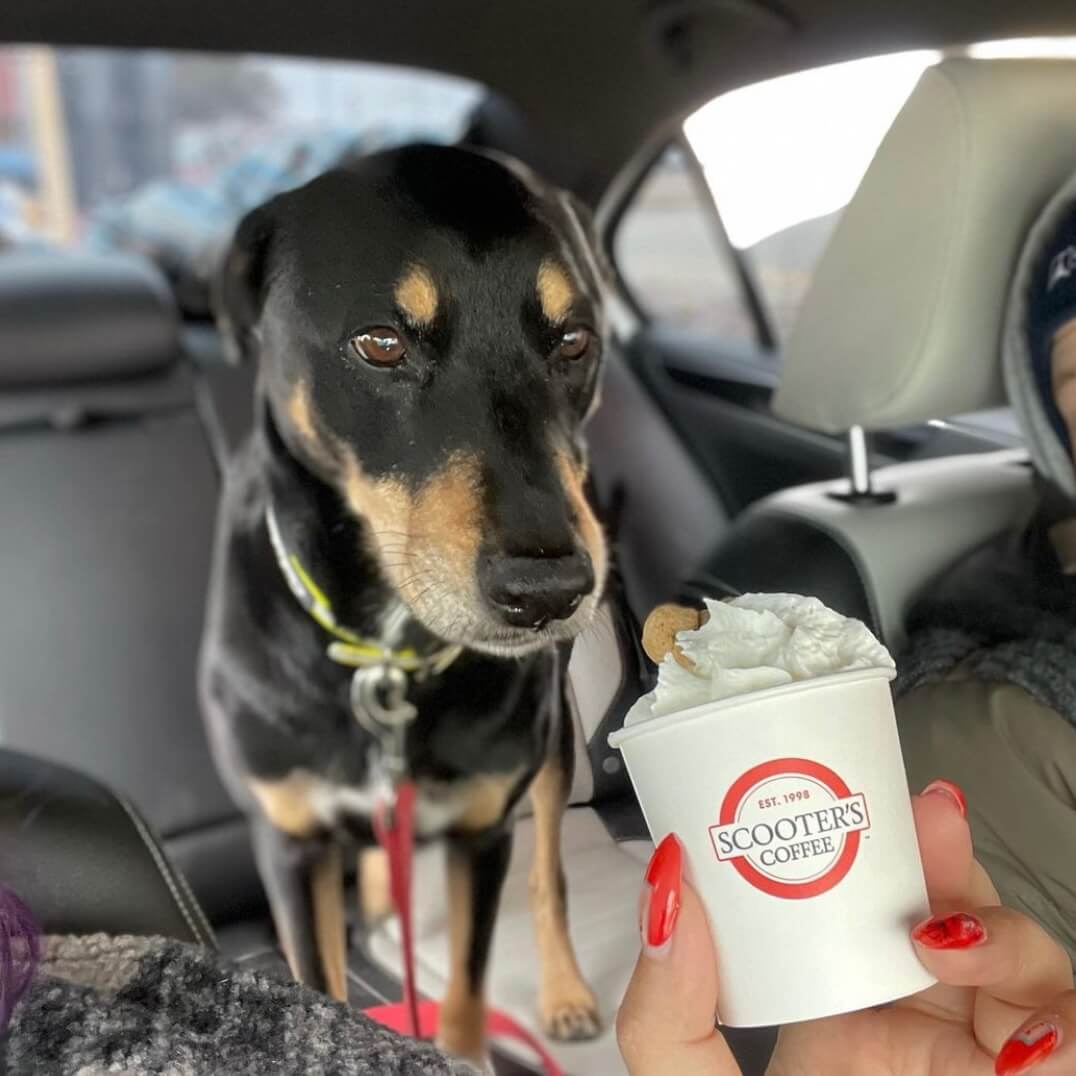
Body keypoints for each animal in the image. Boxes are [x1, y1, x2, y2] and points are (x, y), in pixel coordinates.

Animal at [199, 143, 611, 1058]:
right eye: (381, 343)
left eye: (575, 340)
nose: (549, 592)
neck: (386, 653)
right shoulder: (289, 844)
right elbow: (319, 985)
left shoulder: (483, 829)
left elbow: (465, 993)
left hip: (552, 745)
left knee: (551, 875)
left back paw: (566, 989)